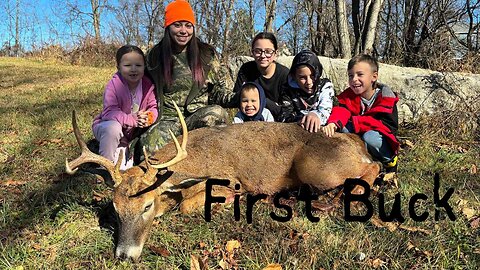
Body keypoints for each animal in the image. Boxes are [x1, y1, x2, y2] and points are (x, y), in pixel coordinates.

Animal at [64, 102, 378, 260]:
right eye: (116, 209)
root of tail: (356, 142)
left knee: (372, 167)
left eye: (146, 206)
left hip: (314, 167)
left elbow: (187, 206)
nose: (124, 255)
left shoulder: (230, 178)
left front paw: (226, 201)